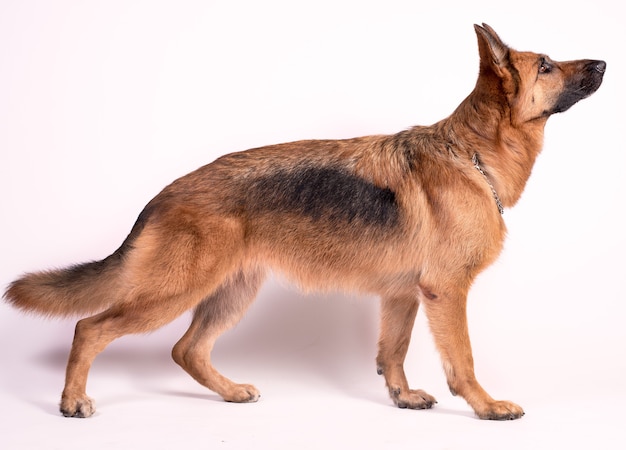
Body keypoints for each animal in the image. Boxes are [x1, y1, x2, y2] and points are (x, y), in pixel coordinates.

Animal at [2, 23, 604, 418]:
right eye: (546, 65)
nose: (602, 63)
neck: (472, 155)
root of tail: (165, 194)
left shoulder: (403, 297)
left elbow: (393, 352)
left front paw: (402, 397)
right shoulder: (446, 293)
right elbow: (464, 360)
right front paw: (485, 406)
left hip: (232, 292)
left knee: (185, 349)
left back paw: (230, 392)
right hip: (172, 293)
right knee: (91, 327)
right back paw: (73, 400)